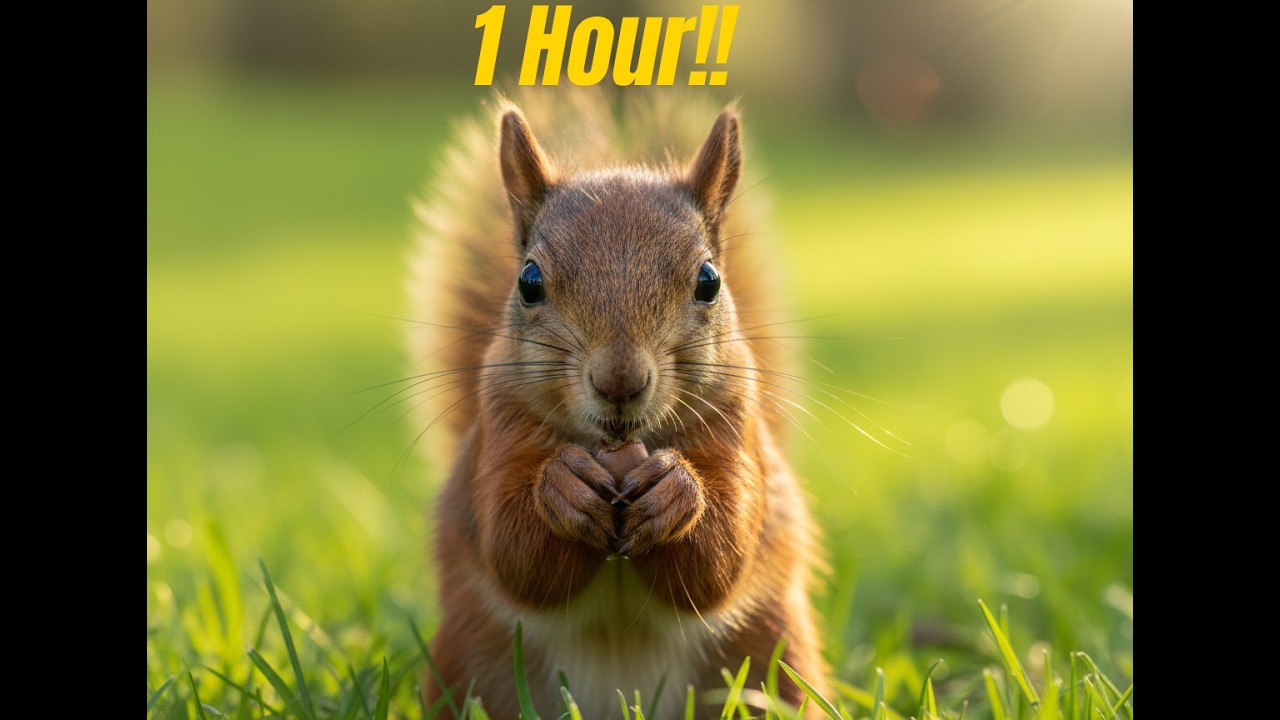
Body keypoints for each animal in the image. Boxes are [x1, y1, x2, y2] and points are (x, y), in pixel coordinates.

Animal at [408, 89, 826, 719]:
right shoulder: (499, 422)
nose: (620, 382)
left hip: (771, 657)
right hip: (468, 662)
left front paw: (678, 492)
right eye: (528, 281)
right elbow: (514, 549)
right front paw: (563, 486)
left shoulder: (736, 421)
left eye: (709, 280)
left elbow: (720, 557)